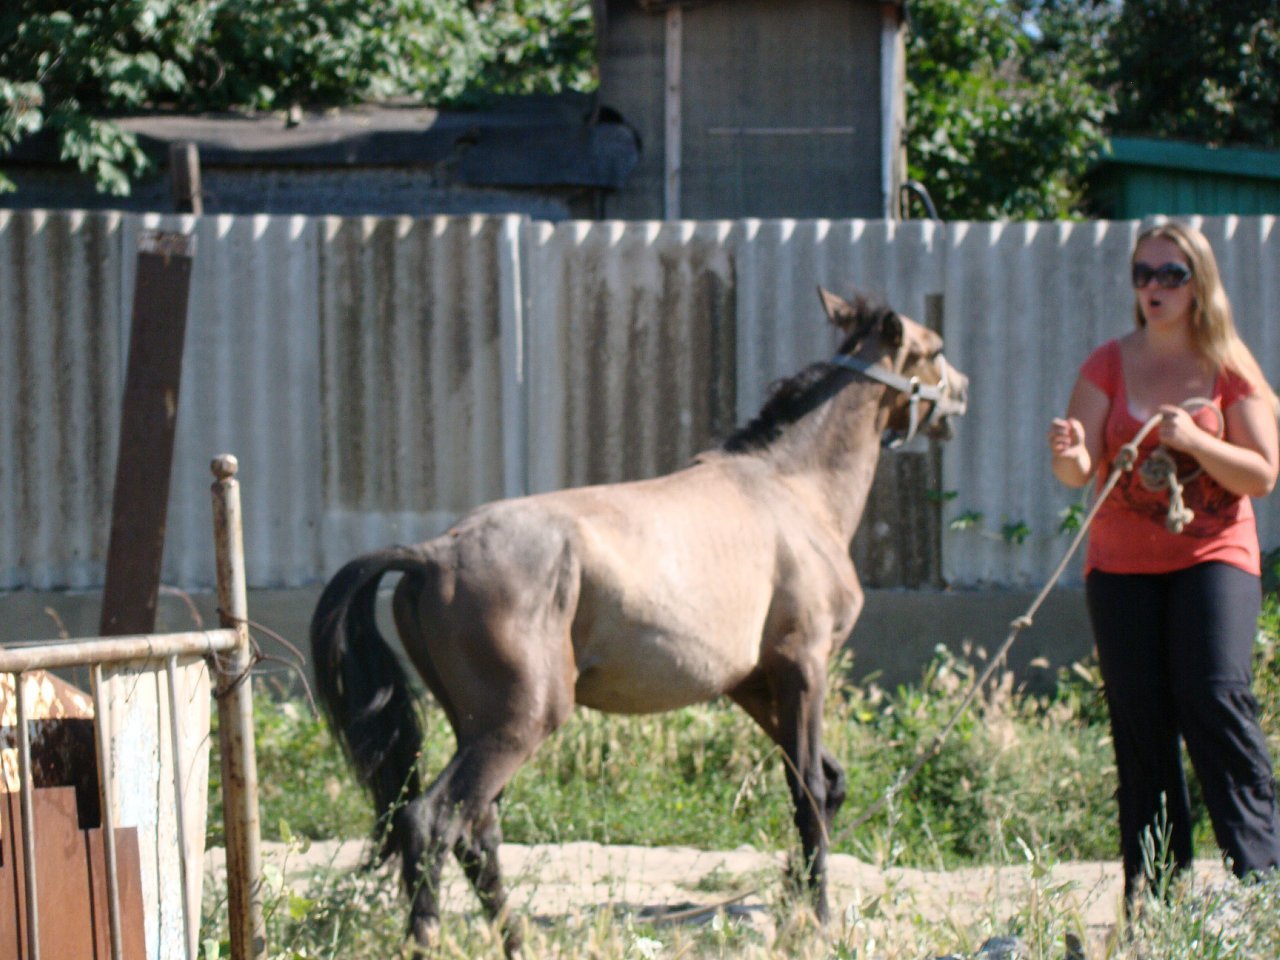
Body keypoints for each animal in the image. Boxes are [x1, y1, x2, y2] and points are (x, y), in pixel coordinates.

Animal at [312, 288, 967, 957]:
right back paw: (431, 936)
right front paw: (818, 921)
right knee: (433, 820)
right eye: (935, 348)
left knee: (478, 830)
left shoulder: (754, 683)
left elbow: (828, 784)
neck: (790, 490)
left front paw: (793, 909)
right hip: (518, 723)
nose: (961, 396)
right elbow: (808, 790)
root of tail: (435, 553)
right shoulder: (803, 664)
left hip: (476, 724)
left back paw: (518, 937)